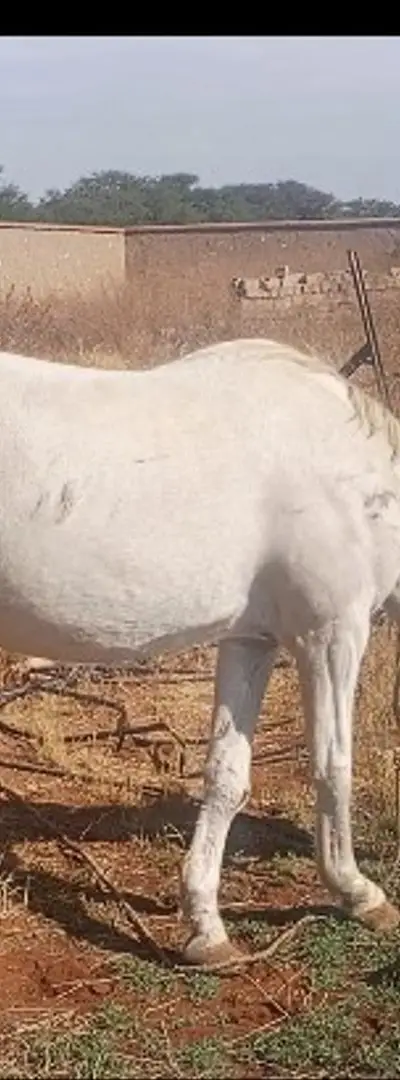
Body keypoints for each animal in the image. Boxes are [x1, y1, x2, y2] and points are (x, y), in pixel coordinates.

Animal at [0, 336, 400, 967]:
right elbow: (332, 762)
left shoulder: (251, 640)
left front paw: (205, 928)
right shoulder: (332, 632)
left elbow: (225, 776)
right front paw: (357, 891)